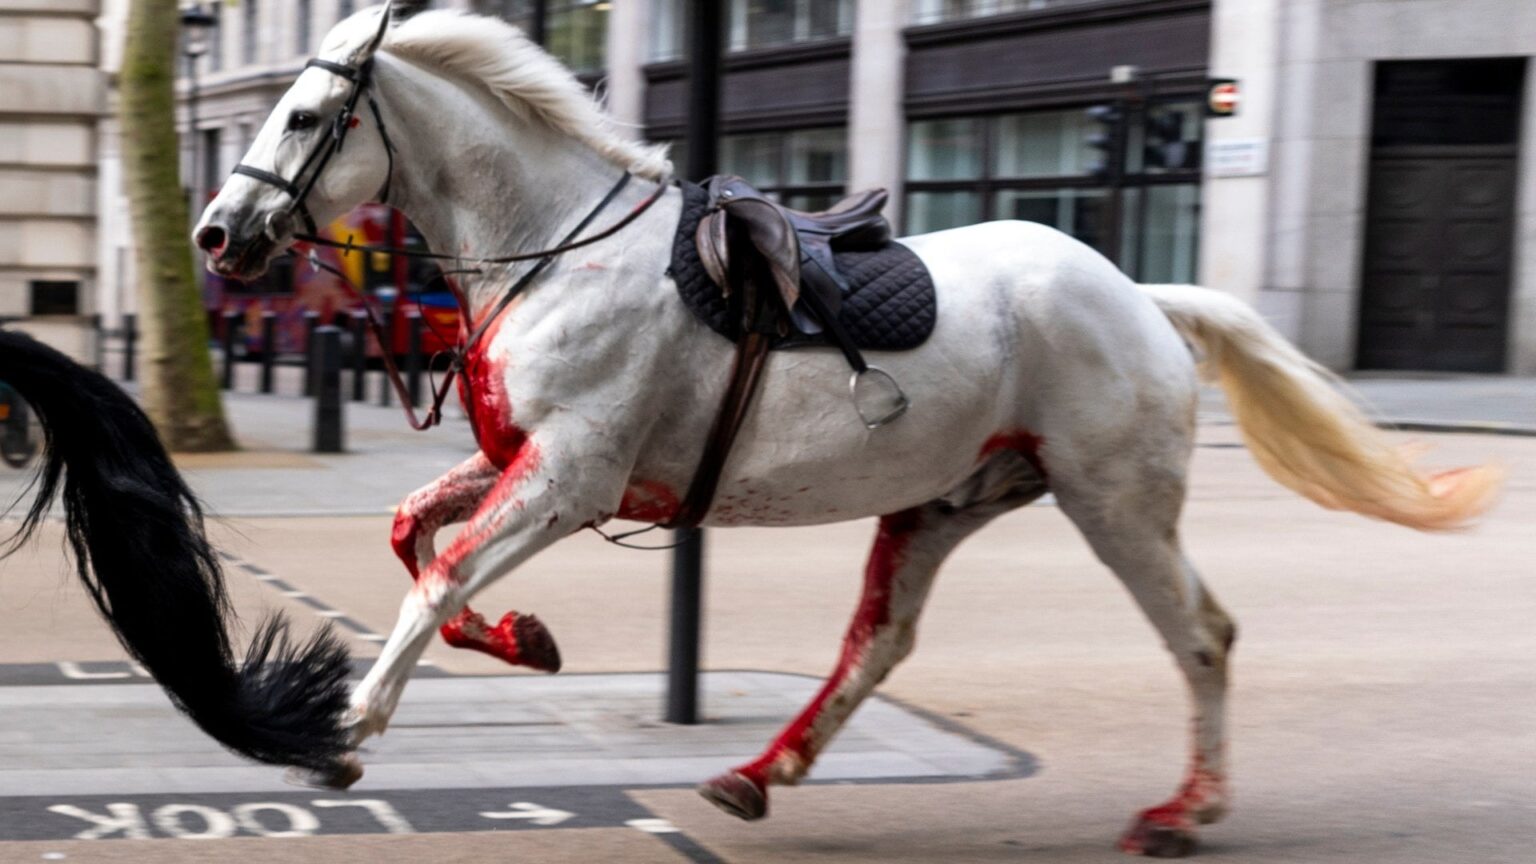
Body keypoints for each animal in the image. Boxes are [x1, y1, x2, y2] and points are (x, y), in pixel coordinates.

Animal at [7, 3, 1495, 857]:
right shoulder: (523, 461)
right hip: (944, 501)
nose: (215, 235)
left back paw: (1186, 811)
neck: (554, 248)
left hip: (1113, 501)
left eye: (311, 114)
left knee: (1202, 634)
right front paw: (524, 640)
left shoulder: (571, 476)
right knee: (879, 643)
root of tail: (1140, 293)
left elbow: (433, 578)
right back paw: (757, 773)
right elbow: (411, 538)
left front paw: (345, 728)